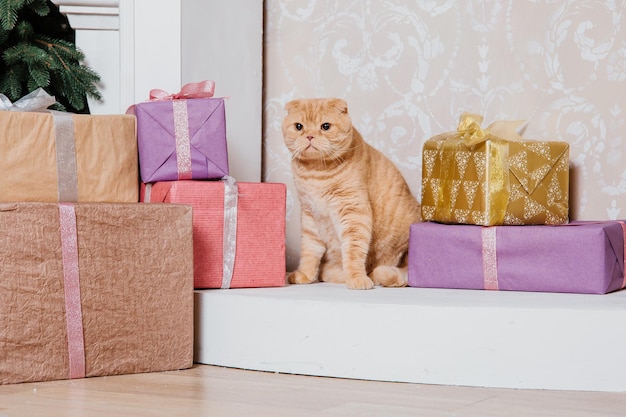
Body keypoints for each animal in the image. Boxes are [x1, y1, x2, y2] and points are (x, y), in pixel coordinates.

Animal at [282, 98, 420, 290]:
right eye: (299, 127)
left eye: (325, 126)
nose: (309, 136)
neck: (315, 173)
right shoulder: (310, 215)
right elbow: (310, 250)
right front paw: (305, 274)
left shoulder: (354, 213)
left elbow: (353, 251)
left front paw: (357, 278)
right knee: (326, 270)